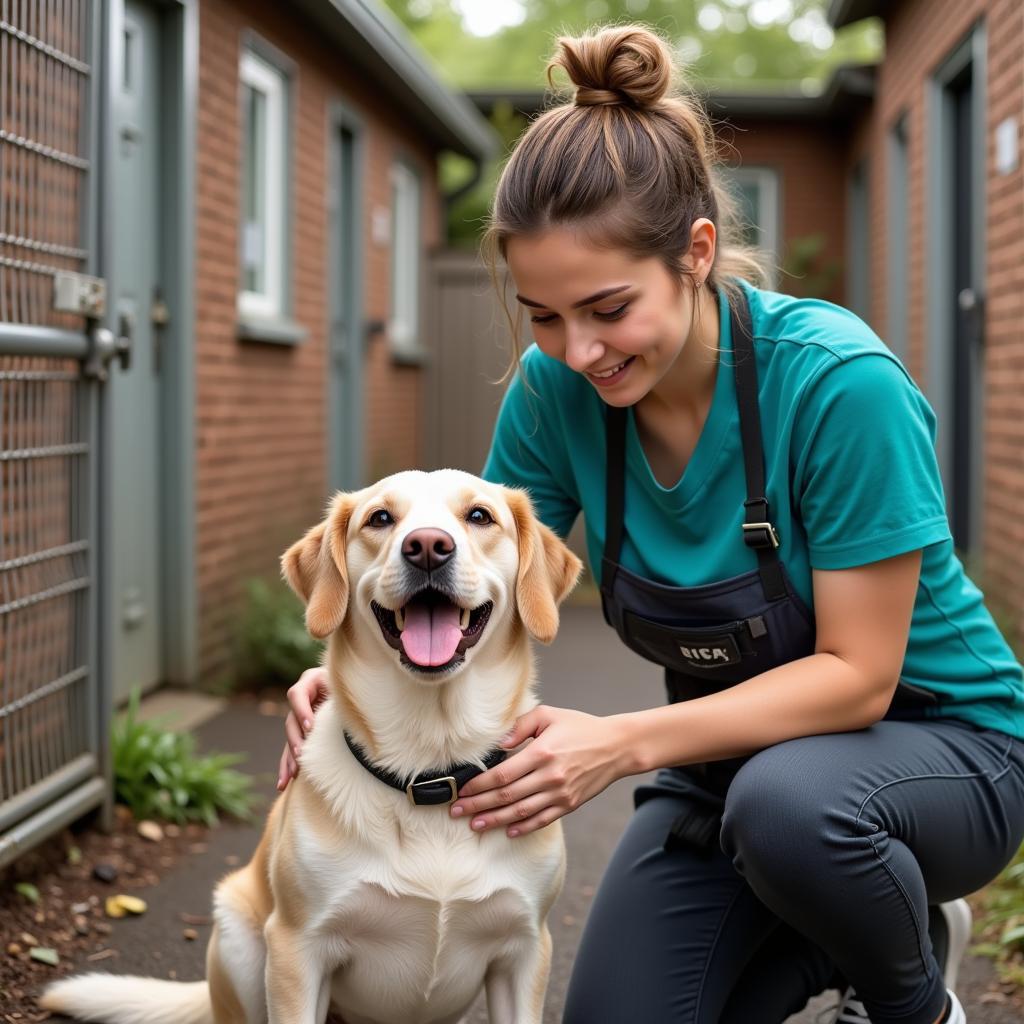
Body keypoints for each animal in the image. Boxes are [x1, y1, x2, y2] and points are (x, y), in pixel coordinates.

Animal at [39, 468, 581, 1024]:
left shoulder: (525, 951)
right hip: (239, 939)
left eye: (479, 516)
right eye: (380, 518)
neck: (429, 764)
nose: (428, 547)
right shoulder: (297, 948)